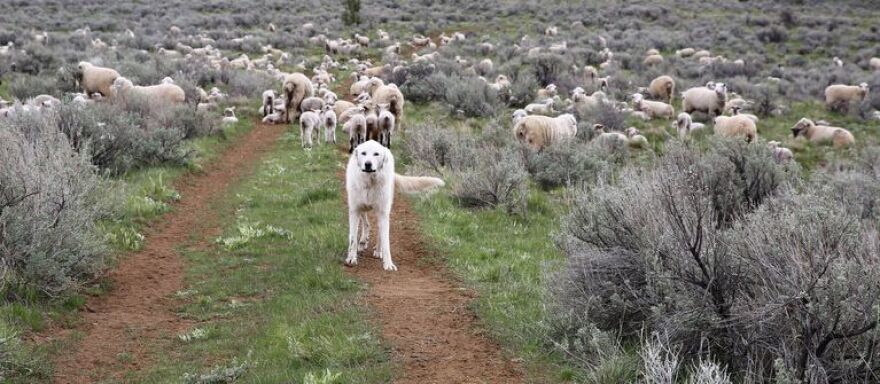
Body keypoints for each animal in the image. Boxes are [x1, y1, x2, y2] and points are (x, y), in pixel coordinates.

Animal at [348, 140, 444, 270]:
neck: (370, 182)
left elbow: (386, 242)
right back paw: (363, 242)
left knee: (378, 232)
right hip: (363, 209)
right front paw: (351, 259)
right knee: (366, 224)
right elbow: (353, 239)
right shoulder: (355, 210)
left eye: (376, 154)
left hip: (382, 212)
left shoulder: (383, 213)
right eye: (363, 153)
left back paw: (377, 251)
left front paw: (388, 264)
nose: (368, 164)